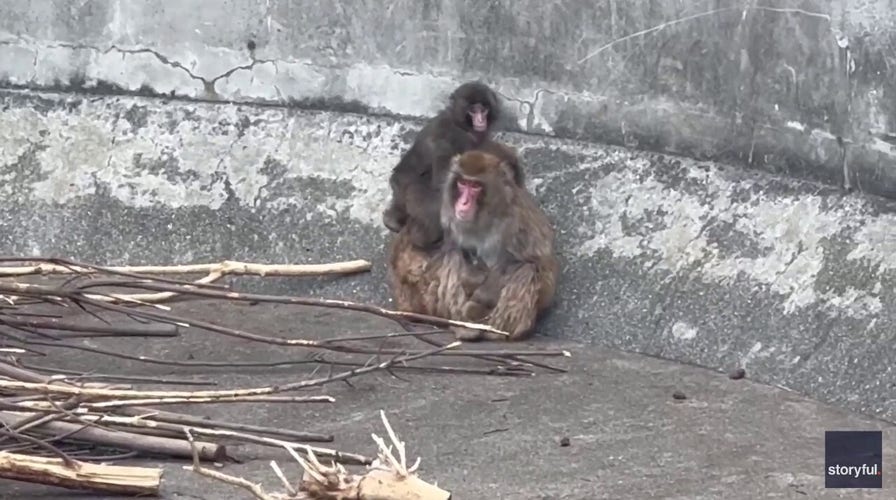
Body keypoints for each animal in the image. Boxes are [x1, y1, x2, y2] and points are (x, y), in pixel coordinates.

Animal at [381, 81, 525, 250]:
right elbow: (443, 183)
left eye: (483, 109)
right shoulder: (449, 138)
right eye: (473, 110)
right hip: (413, 195)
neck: (459, 124)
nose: (480, 120)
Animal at [386, 149, 558, 342]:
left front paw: (483, 296)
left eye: (475, 186)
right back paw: (466, 329)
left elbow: (538, 265)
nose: (463, 203)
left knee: (526, 271)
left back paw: (495, 331)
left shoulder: (518, 219)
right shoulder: (447, 215)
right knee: (452, 257)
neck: (486, 215)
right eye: (463, 183)